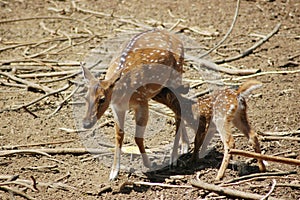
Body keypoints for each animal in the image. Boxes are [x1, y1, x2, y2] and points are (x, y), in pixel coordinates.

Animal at [81, 28, 190, 180]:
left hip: (176, 76)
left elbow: (138, 137)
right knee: (178, 107)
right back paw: (184, 146)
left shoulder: (141, 101)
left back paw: (175, 156)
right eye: (85, 97)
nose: (86, 123)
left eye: (102, 99)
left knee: (180, 107)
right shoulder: (117, 108)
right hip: (159, 91)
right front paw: (114, 172)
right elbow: (119, 135)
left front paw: (148, 165)